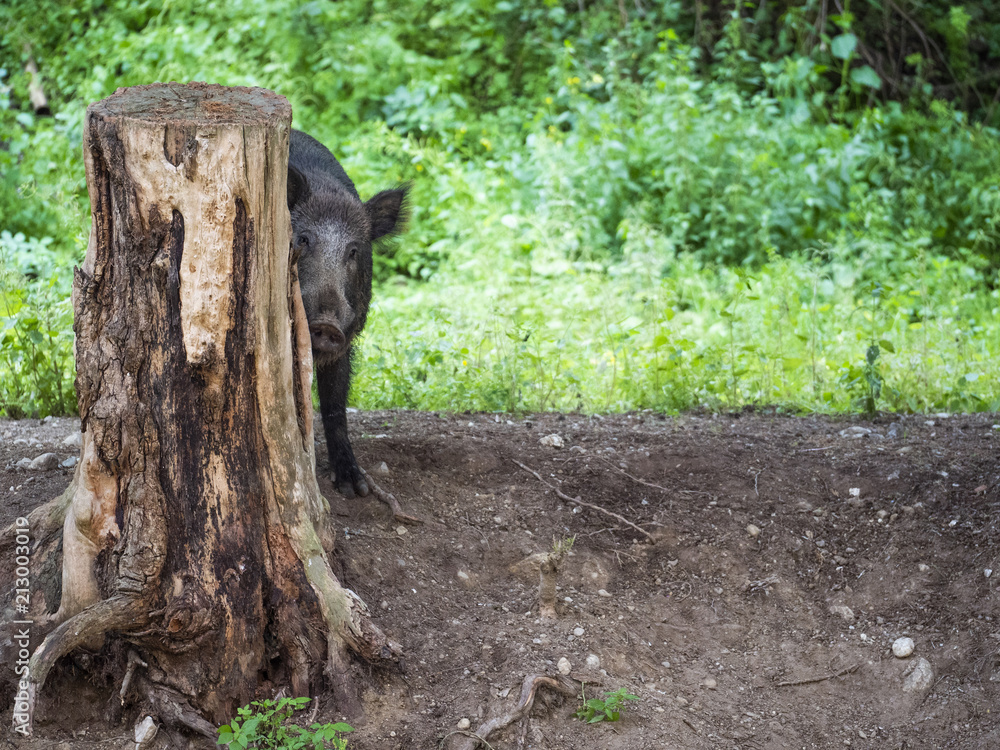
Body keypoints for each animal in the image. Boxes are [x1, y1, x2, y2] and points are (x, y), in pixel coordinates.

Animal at [287, 129, 408, 497]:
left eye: (353, 251)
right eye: (303, 239)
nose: (327, 324)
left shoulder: (347, 341)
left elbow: (335, 405)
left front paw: (354, 488)